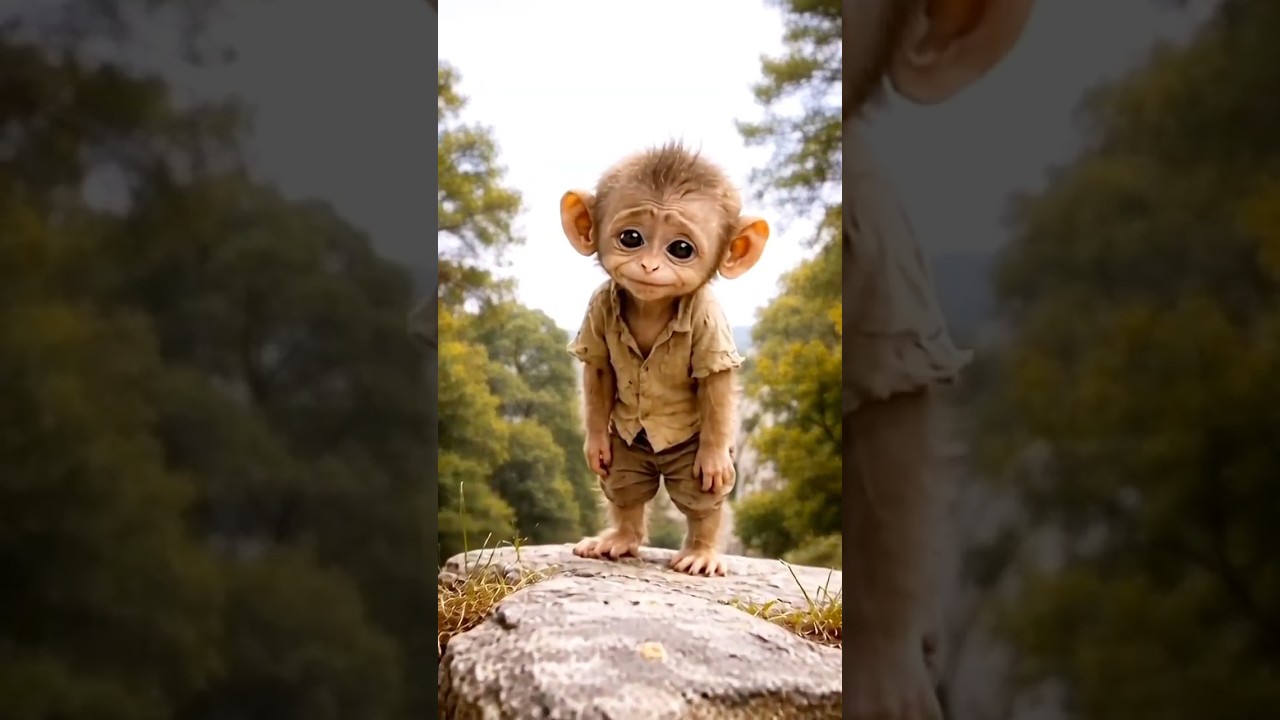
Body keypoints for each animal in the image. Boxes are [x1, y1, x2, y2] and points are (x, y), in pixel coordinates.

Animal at [559, 142, 768, 578]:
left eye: (681, 249)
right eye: (631, 238)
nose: (650, 266)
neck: (651, 309)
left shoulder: (708, 320)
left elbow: (715, 382)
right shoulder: (597, 308)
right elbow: (599, 370)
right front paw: (594, 447)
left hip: (690, 453)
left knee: (699, 498)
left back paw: (701, 553)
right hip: (628, 449)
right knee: (625, 488)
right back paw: (620, 539)